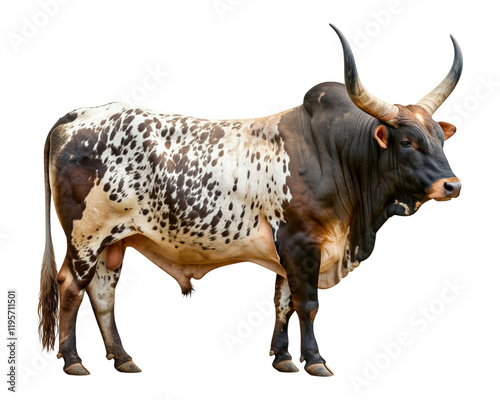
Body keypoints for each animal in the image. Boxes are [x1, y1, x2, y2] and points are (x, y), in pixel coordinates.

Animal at [40, 25, 464, 378]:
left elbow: (283, 302)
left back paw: (123, 358)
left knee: (102, 293)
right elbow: (307, 303)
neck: (335, 155)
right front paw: (316, 360)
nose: (452, 185)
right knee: (71, 286)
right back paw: (74, 361)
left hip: (116, 240)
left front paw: (283, 357)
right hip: (86, 237)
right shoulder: (301, 243)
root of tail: (74, 116)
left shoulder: (290, 251)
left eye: (440, 140)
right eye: (407, 142)